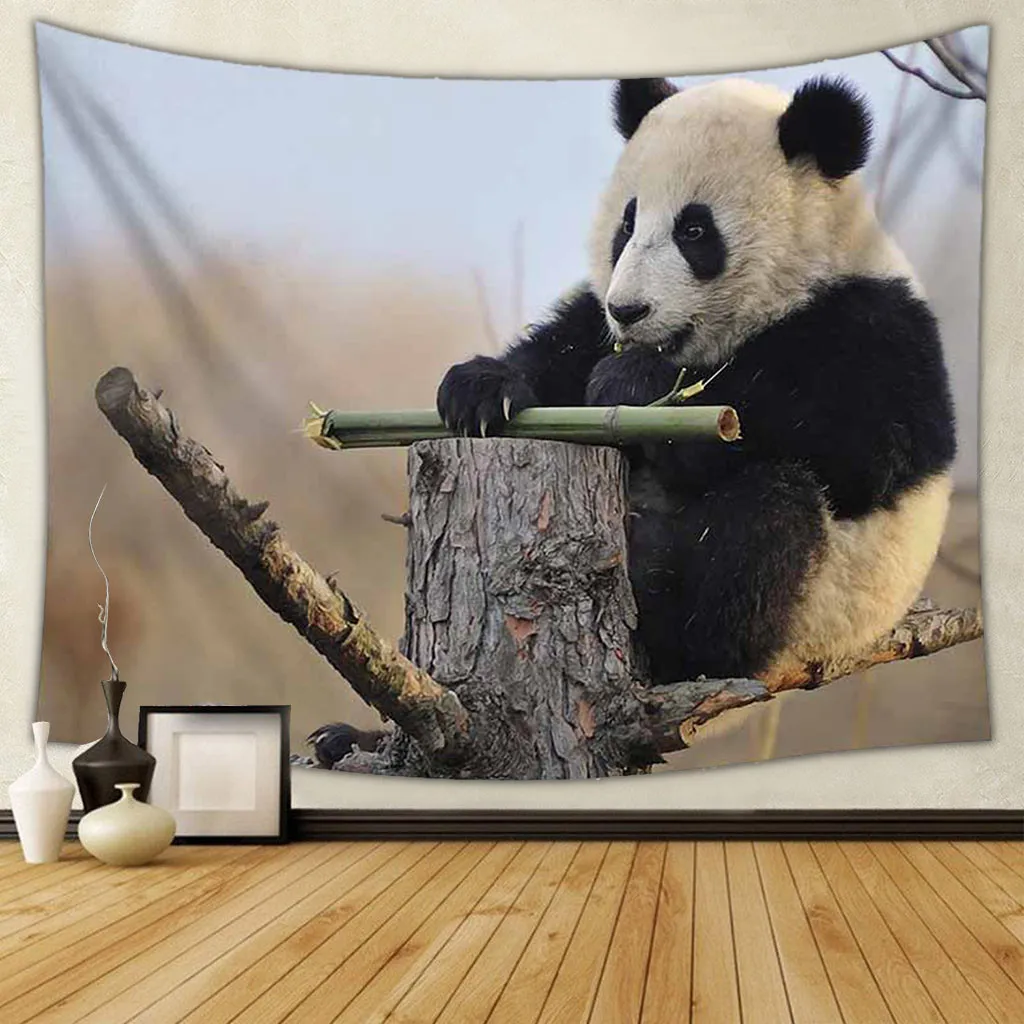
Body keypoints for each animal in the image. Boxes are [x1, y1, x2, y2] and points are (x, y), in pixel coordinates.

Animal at [436, 74, 957, 690]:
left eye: (693, 229)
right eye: (628, 224)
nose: (629, 310)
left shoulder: (876, 328)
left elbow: (853, 439)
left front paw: (632, 384)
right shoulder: (593, 320)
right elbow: (560, 352)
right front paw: (480, 389)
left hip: (820, 600)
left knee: (768, 519)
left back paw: (667, 617)